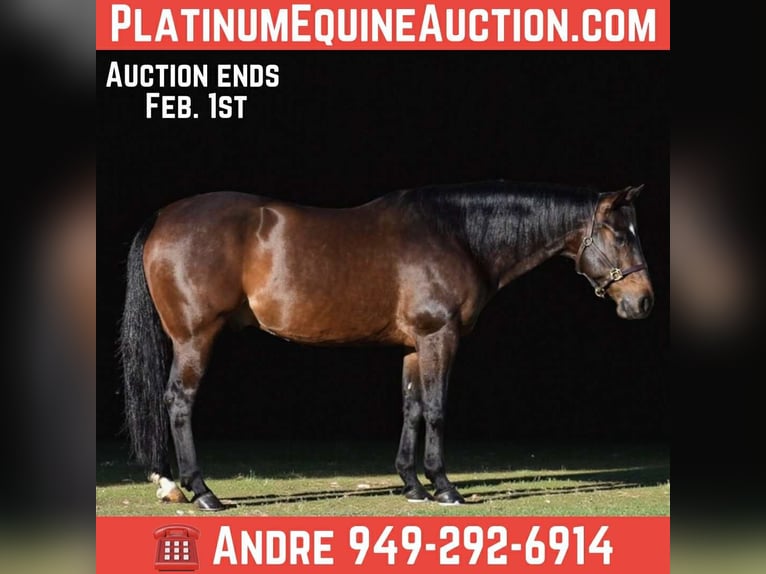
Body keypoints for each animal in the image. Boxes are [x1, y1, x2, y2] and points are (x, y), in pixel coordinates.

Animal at [119, 179, 654, 510]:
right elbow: (436, 409)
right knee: (180, 402)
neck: (456, 235)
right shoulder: (440, 337)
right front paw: (444, 486)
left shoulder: (415, 345)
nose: (643, 301)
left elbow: (412, 408)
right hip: (195, 338)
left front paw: (412, 484)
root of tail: (164, 216)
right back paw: (201, 491)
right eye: (618, 234)